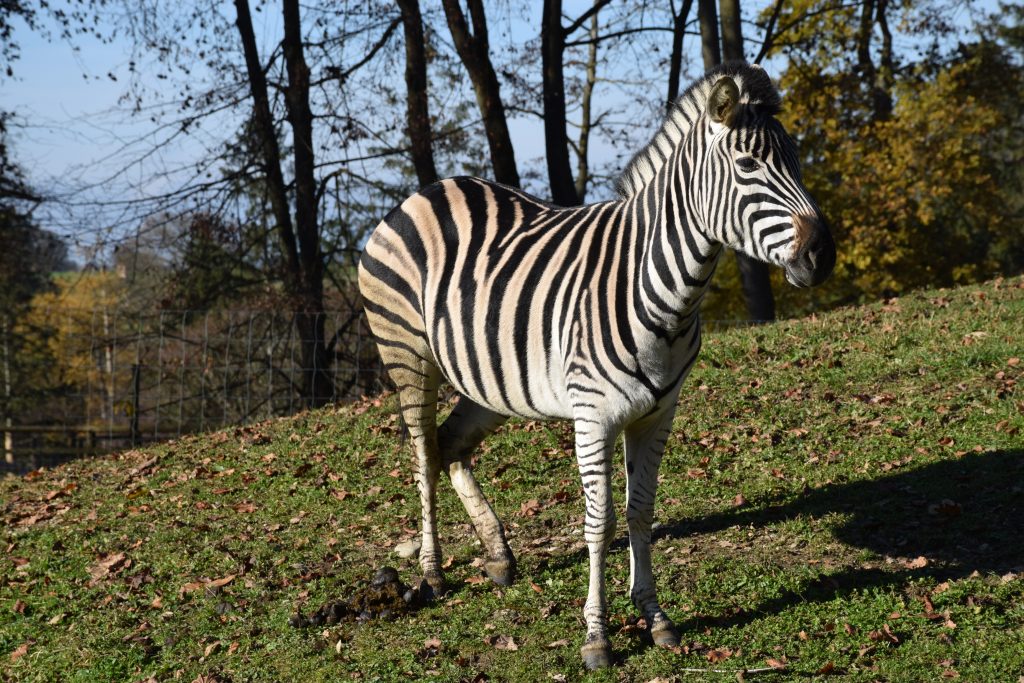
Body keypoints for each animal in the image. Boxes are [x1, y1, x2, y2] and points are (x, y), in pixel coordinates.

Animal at [356, 61, 835, 671]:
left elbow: (640, 512)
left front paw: (655, 617)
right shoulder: (593, 417)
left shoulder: (658, 413)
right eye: (748, 165)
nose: (824, 254)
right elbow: (599, 522)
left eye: (796, 160)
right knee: (422, 455)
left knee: (449, 444)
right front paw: (597, 635)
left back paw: (498, 555)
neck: (659, 287)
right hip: (408, 357)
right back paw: (433, 573)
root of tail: (424, 192)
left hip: (490, 380)